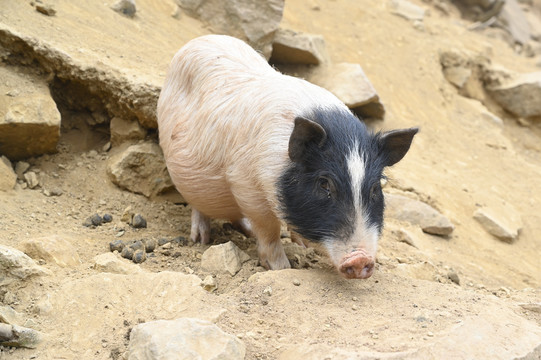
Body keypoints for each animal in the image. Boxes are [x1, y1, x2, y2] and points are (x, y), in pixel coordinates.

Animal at [156, 35, 418, 280]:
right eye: (324, 183)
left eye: (375, 188)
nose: (361, 260)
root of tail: (198, 40)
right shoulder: (244, 184)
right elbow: (269, 230)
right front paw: (282, 268)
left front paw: (302, 245)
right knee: (199, 206)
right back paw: (201, 240)